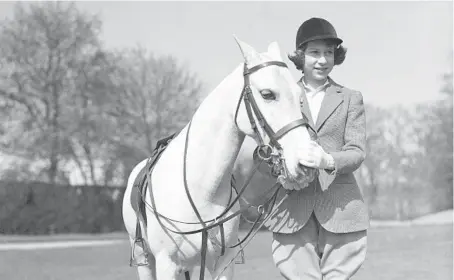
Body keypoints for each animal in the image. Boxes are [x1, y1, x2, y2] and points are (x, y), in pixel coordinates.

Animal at [122, 37, 318, 280]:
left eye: (300, 97)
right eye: (267, 94)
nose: (306, 163)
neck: (202, 189)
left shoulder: (222, 262)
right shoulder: (166, 263)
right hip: (145, 260)